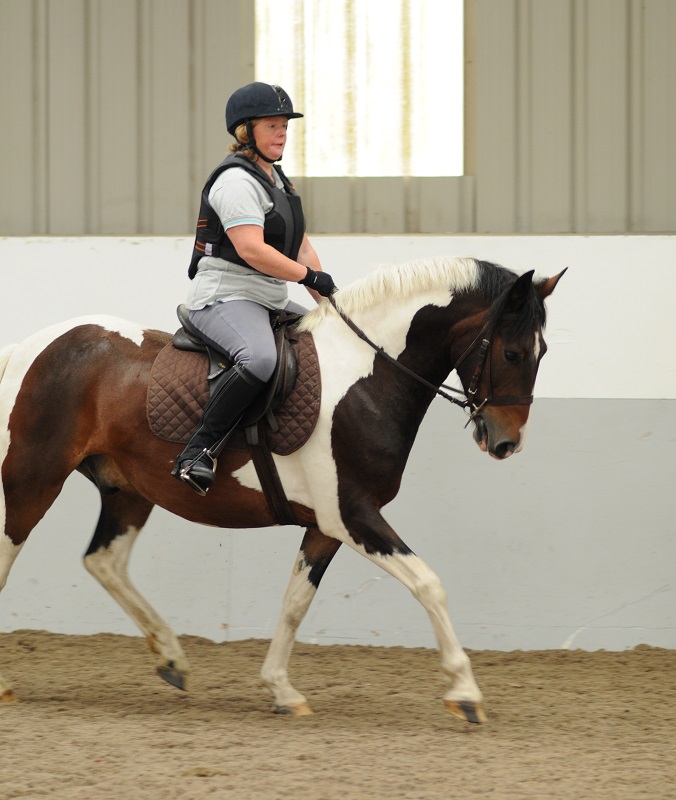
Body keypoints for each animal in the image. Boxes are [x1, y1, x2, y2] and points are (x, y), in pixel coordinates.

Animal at [0, 256, 564, 723]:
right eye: (512, 352)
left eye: (542, 353)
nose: (506, 443)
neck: (366, 377)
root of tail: (30, 347)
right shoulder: (354, 515)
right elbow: (429, 584)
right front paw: (465, 692)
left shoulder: (328, 525)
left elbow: (295, 602)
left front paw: (281, 690)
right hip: (32, 477)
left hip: (128, 491)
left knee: (104, 561)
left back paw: (171, 658)